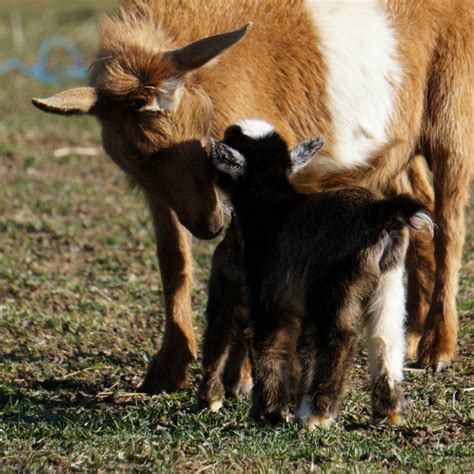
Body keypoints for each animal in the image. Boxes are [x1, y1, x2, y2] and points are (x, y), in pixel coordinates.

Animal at [32, 0, 470, 392]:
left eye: (203, 124)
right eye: (135, 153)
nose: (210, 222)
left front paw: (240, 378)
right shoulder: (162, 195)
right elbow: (173, 260)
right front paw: (167, 369)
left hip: (451, 110)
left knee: (450, 223)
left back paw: (438, 347)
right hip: (397, 143)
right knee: (421, 208)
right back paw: (411, 333)